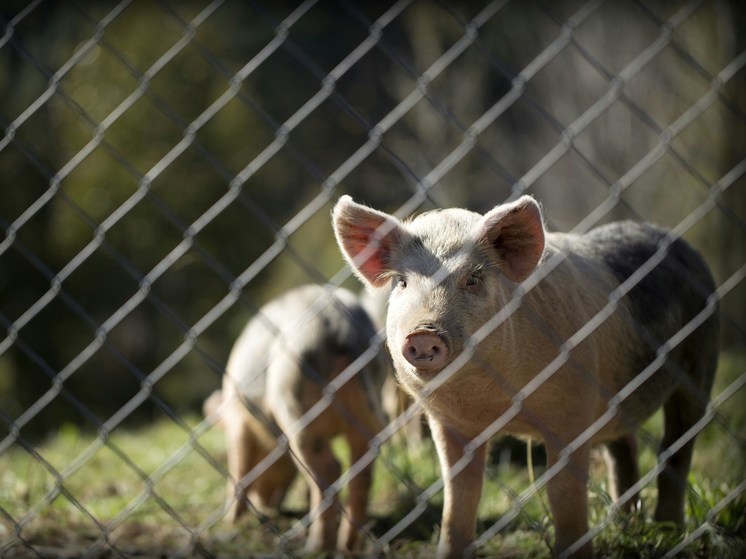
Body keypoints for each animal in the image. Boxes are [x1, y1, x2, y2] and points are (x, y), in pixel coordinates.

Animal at [219, 286, 386, 552]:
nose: (268, 506)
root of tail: (340, 326)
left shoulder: (238, 419)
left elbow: (238, 464)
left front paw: (229, 522)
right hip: (369, 403)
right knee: (362, 467)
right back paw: (347, 546)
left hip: (293, 398)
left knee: (329, 468)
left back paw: (316, 547)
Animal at [330, 195, 716, 556]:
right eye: (402, 282)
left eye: (473, 279)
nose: (423, 333)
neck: (495, 404)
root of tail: (678, 243)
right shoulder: (448, 424)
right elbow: (459, 496)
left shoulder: (572, 412)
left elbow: (563, 493)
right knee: (625, 446)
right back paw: (626, 526)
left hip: (699, 360)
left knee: (676, 446)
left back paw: (668, 531)